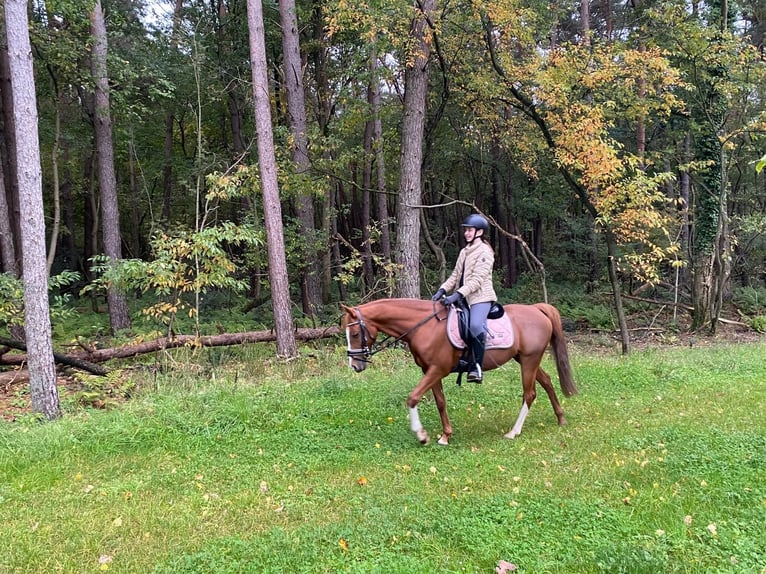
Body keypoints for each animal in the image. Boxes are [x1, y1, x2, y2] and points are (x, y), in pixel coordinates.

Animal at [340, 300, 580, 448]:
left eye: (355, 333)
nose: (355, 365)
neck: (424, 327)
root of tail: (537, 309)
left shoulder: (437, 369)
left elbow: (413, 397)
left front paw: (422, 435)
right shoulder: (429, 370)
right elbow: (440, 402)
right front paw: (446, 435)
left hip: (529, 360)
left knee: (529, 394)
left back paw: (513, 432)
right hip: (525, 359)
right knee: (547, 382)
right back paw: (561, 418)